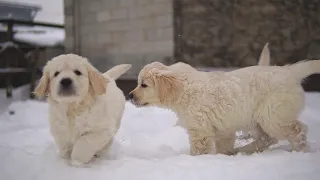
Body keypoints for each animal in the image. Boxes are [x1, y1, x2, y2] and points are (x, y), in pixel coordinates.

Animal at [128, 57, 318, 155]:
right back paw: (243, 150)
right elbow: (223, 145)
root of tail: (289, 72)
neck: (183, 88)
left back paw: (300, 150)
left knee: (297, 130)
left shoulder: (200, 130)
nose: (129, 96)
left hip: (273, 114)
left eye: (143, 85)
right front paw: (224, 155)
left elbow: (200, 150)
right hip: (258, 119)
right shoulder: (223, 128)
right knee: (267, 138)